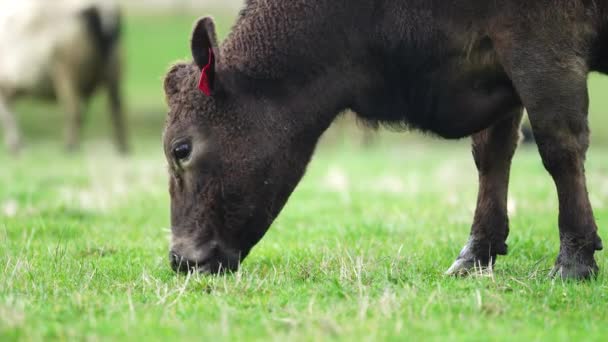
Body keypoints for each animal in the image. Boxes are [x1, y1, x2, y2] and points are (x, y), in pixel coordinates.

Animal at [0, 0, 127, 153]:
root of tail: (99, 7)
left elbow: (7, 115)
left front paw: (15, 146)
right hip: (113, 71)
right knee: (115, 109)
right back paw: (121, 149)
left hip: (66, 72)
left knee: (74, 109)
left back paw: (70, 147)